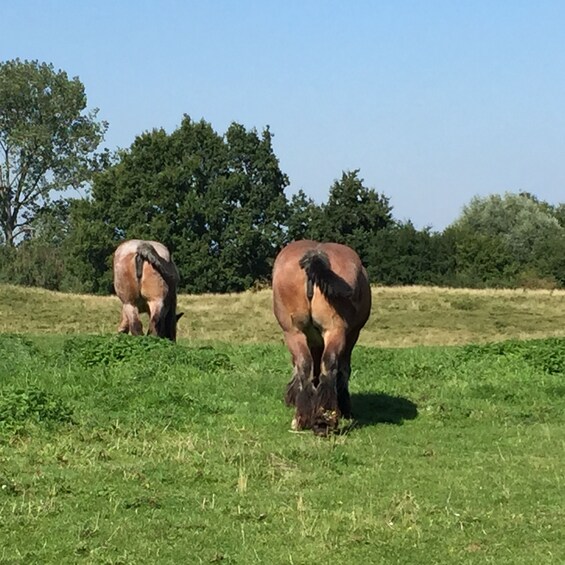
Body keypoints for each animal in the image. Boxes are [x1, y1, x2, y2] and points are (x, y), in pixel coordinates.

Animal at [272, 240, 372, 434]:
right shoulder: (351, 336)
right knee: (329, 365)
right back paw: (324, 417)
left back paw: (305, 417)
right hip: (335, 330)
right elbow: (344, 369)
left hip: (294, 332)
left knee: (305, 364)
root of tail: (316, 255)